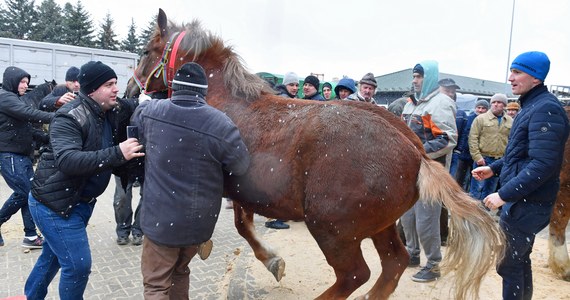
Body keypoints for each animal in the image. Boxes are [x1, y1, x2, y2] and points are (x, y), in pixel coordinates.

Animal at [126, 8, 504, 298]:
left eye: (144, 52)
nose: (131, 90)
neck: (223, 101)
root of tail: (416, 152)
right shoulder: (243, 192)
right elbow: (242, 226)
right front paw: (271, 260)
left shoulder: (226, 187)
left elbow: (239, 226)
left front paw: (269, 259)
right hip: (380, 226)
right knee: (393, 264)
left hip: (332, 229)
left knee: (355, 274)